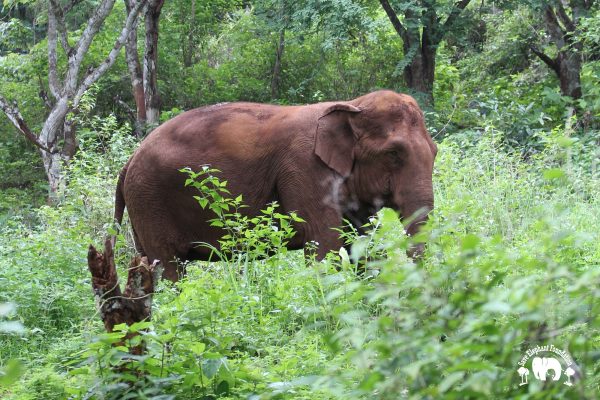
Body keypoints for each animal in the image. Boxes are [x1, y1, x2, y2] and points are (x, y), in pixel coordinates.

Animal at [112, 90, 438, 282]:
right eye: (394, 154)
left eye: (435, 151)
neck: (352, 105)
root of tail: (128, 162)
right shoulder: (304, 170)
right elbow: (327, 244)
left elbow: (362, 241)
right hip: (150, 200)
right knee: (168, 268)